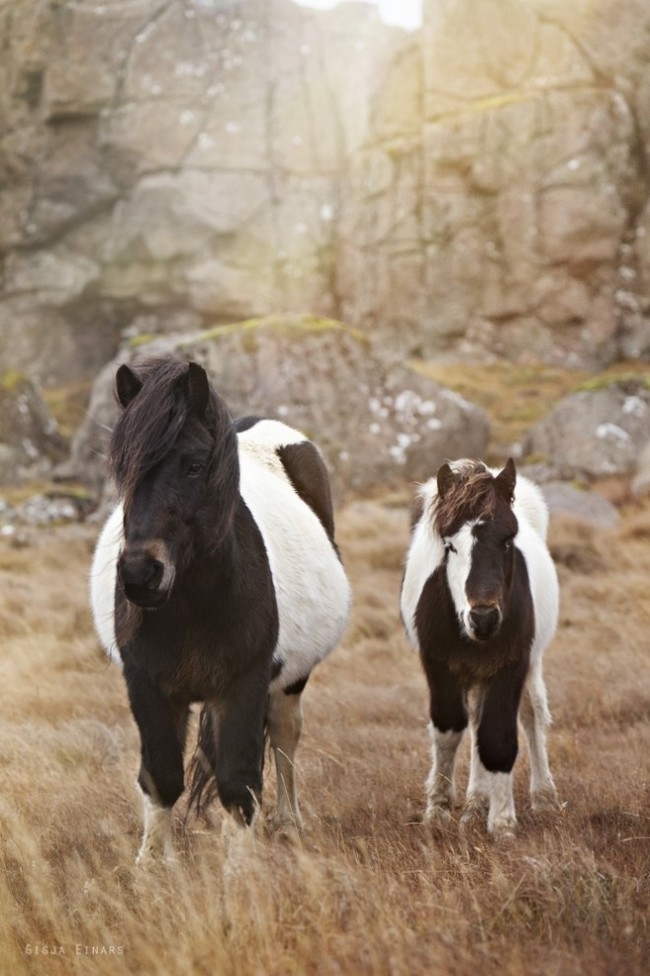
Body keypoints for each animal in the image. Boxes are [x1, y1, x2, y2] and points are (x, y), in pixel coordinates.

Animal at [90, 358, 350, 860]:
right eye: (123, 469)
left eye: (193, 465)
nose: (140, 575)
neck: (194, 606)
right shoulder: (147, 686)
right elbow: (161, 778)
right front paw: (150, 866)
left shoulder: (241, 686)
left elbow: (239, 784)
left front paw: (238, 873)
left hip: (291, 678)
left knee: (285, 734)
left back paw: (288, 824)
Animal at [400, 462, 556, 836]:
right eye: (450, 547)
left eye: (508, 540)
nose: (483, 618)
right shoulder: (438, 664)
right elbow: (448, 730)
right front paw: (438, 810)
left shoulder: (511, 665)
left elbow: (497, 737)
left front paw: (501, 822)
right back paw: (474, 804)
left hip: (528, 665)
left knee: (530, 715)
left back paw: (542, 796)